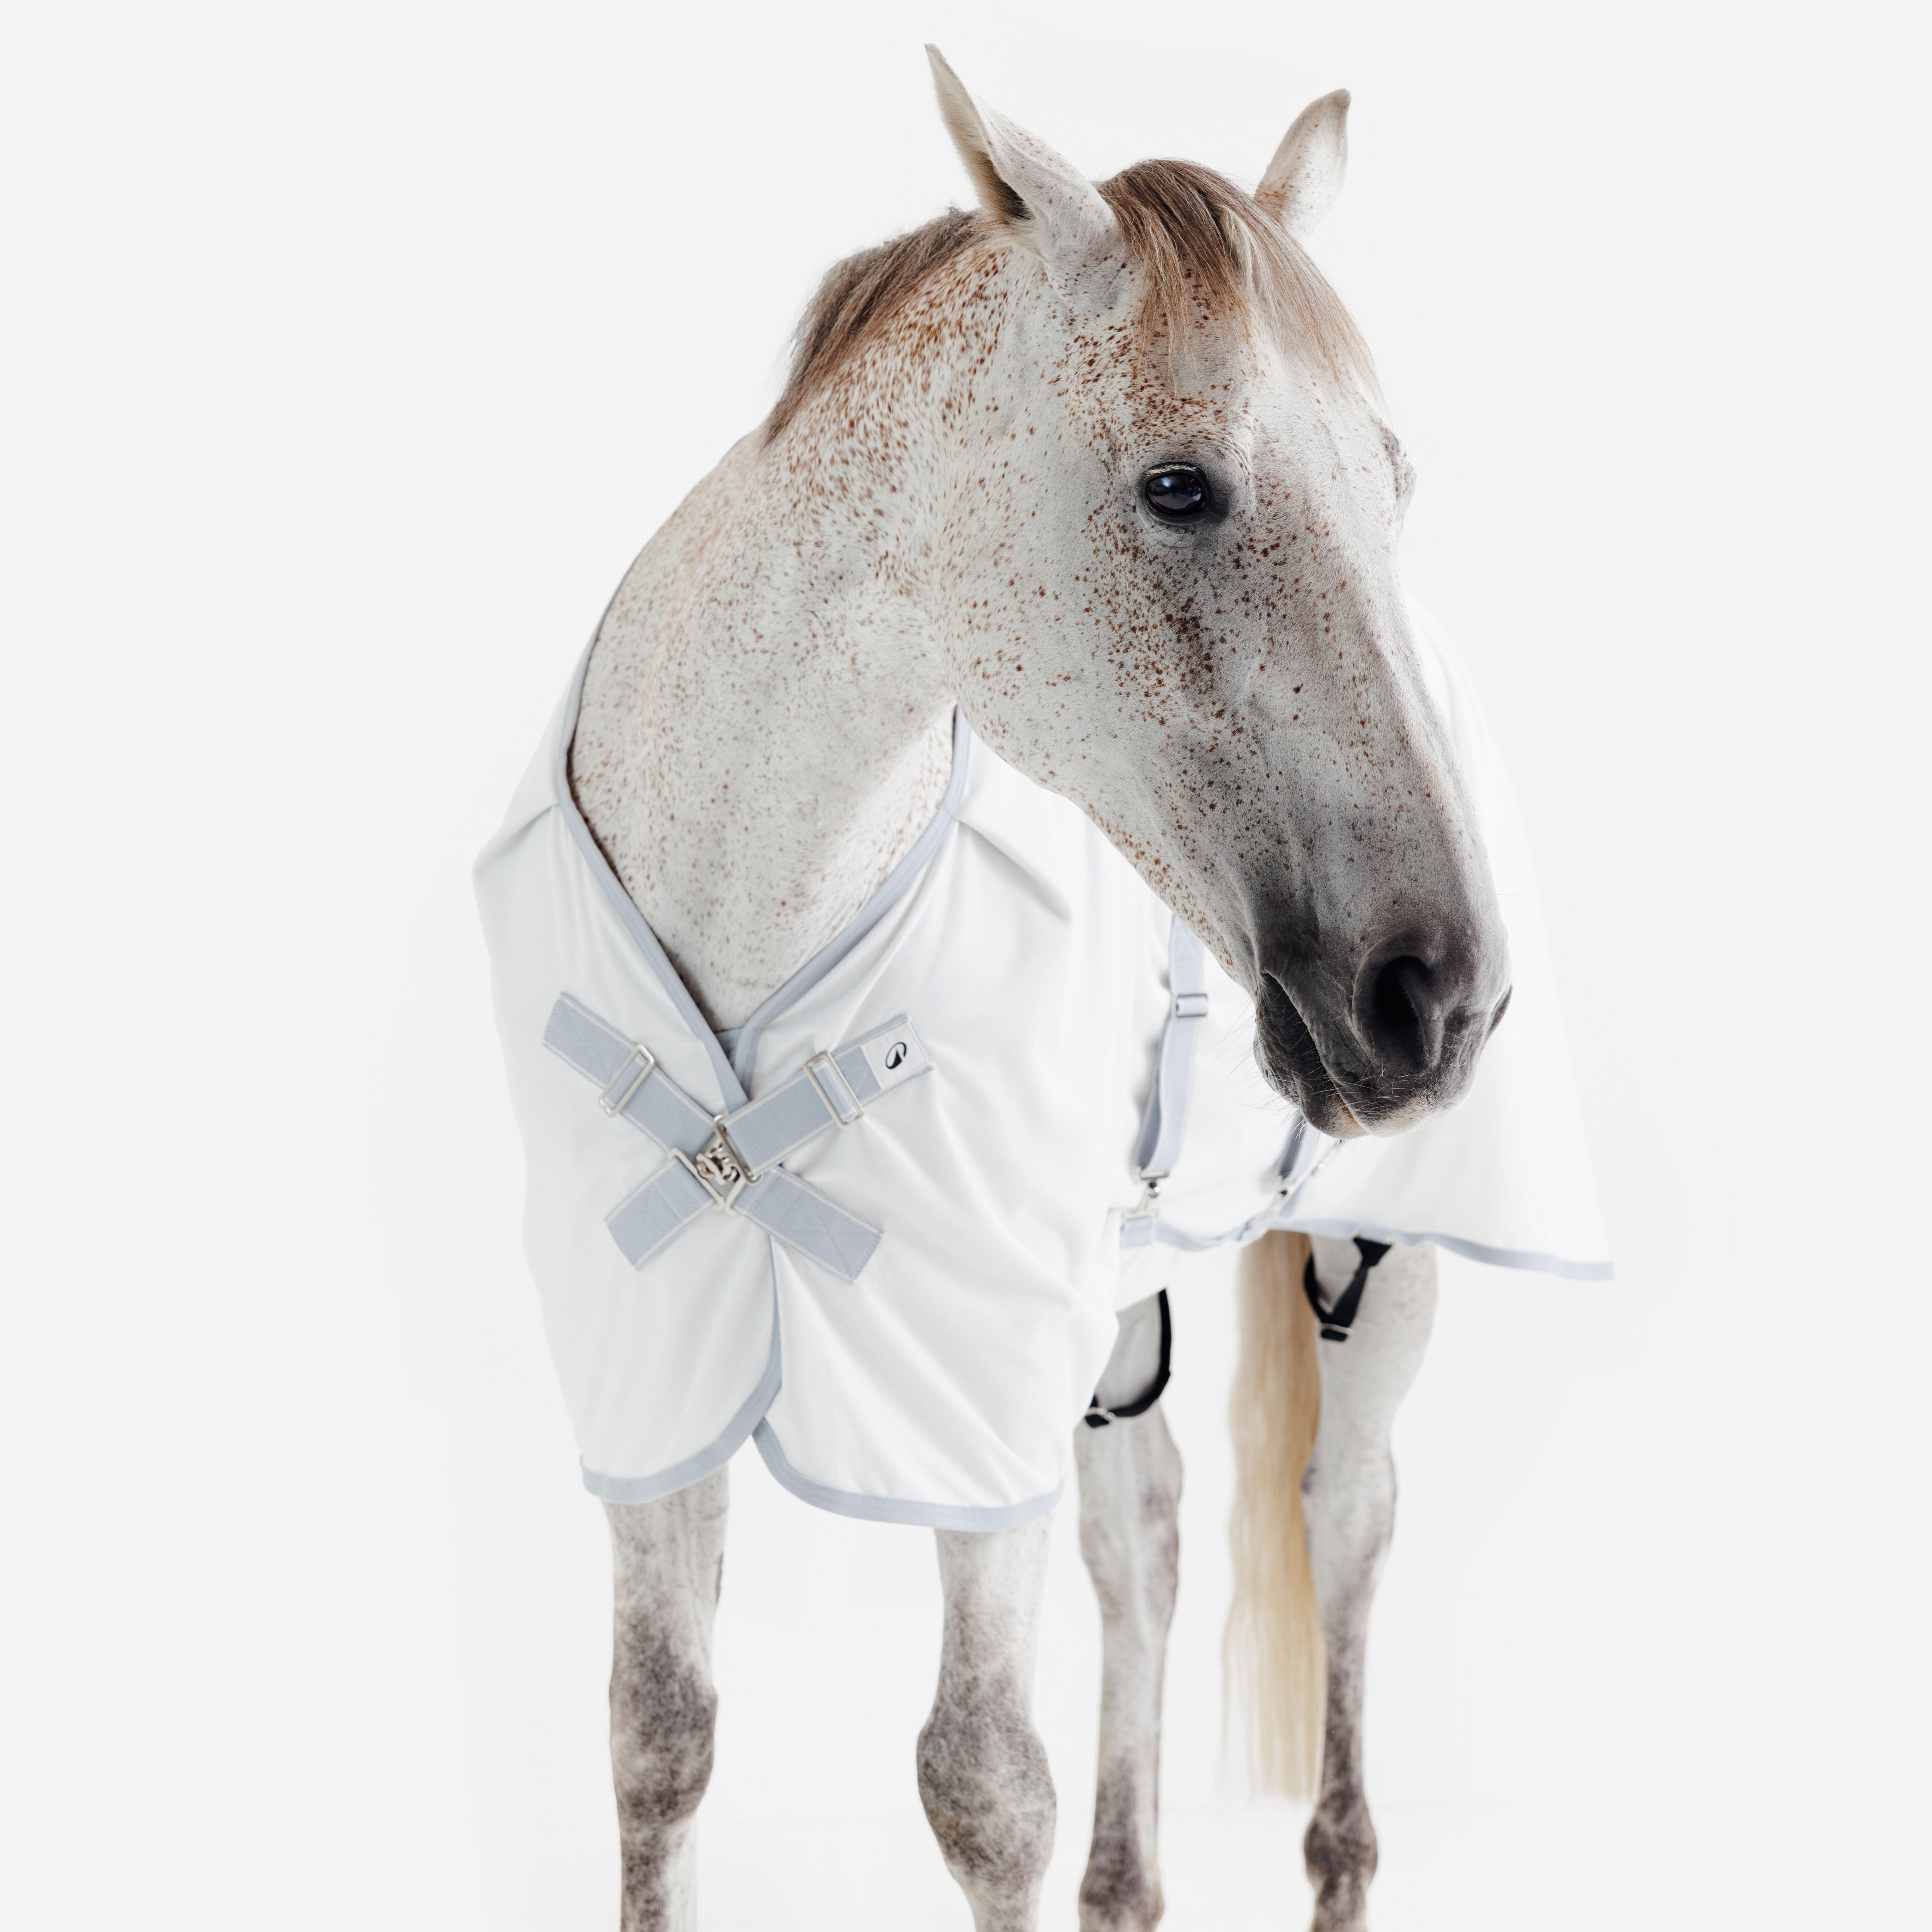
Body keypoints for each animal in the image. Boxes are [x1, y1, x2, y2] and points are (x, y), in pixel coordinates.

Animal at [490, 49, 1513, 1932]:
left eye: (1394, 482)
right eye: (1179, 487)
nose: (1440, 996)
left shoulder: (973, 1379)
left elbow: (982, 1786)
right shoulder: (645, 1366)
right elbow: (657, 1734)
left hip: (1373, 1262)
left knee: (1346, 1521)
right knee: (1152, 1537)